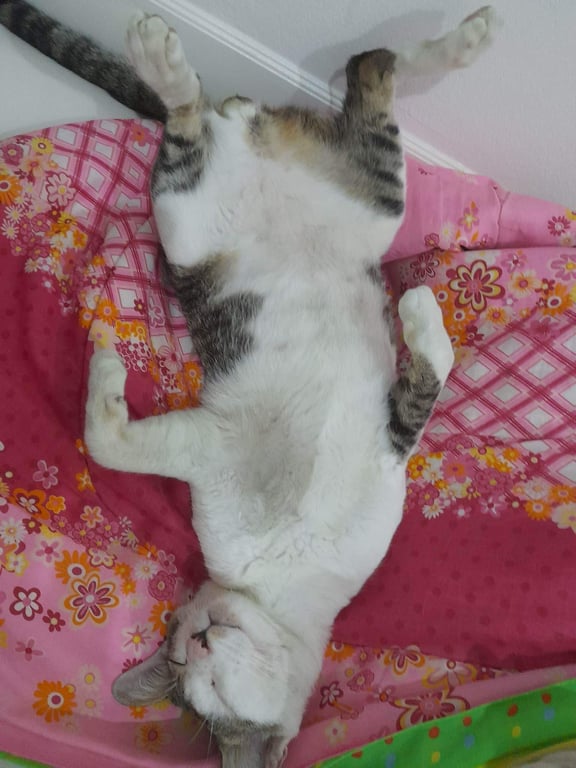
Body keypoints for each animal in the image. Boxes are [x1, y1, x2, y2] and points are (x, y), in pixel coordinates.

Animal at [1, 2, 495, 766]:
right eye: (186, 665)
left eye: (204, 680)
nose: (202, 637)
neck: (280, 570)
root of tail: (242, 130)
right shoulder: (211, 444)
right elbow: (108, 442)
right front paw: (107, 375)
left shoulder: (382, 453)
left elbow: (425, 381)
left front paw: (418, 311)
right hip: (205, 221)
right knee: (346, 81)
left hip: (348, 208)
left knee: (357, 74)